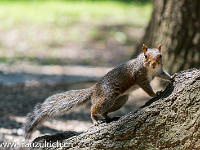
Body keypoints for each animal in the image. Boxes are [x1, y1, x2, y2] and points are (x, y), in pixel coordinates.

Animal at [22, 44, 171, 139]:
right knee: (94, 109)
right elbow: (147, 88)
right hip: (107, 97)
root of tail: (94, 89)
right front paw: (155, 93)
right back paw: (95, 119)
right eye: (146, 56)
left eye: (160, 55)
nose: (154, 64)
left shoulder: (159, 71)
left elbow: (164, 75)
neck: (151, 70)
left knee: (105, 111)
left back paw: (109, 118)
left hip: (120, 101)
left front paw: (172, 77)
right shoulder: (139, 76)